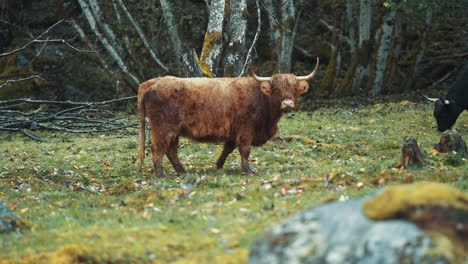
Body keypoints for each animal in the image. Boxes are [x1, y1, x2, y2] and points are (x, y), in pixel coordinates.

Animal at [138, 58, 318, 176]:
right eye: (276, 89)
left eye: (294, 89)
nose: (287, 104)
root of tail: (150, 82)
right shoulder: (246, 129)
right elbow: (245, 149)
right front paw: (247, 170)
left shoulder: (234, 131)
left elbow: (228, 148)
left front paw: (218, 165)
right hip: (163, 127)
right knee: (158, 147)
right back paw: (161, 173)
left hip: (173, 130)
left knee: (171, 150)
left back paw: (182, 171)